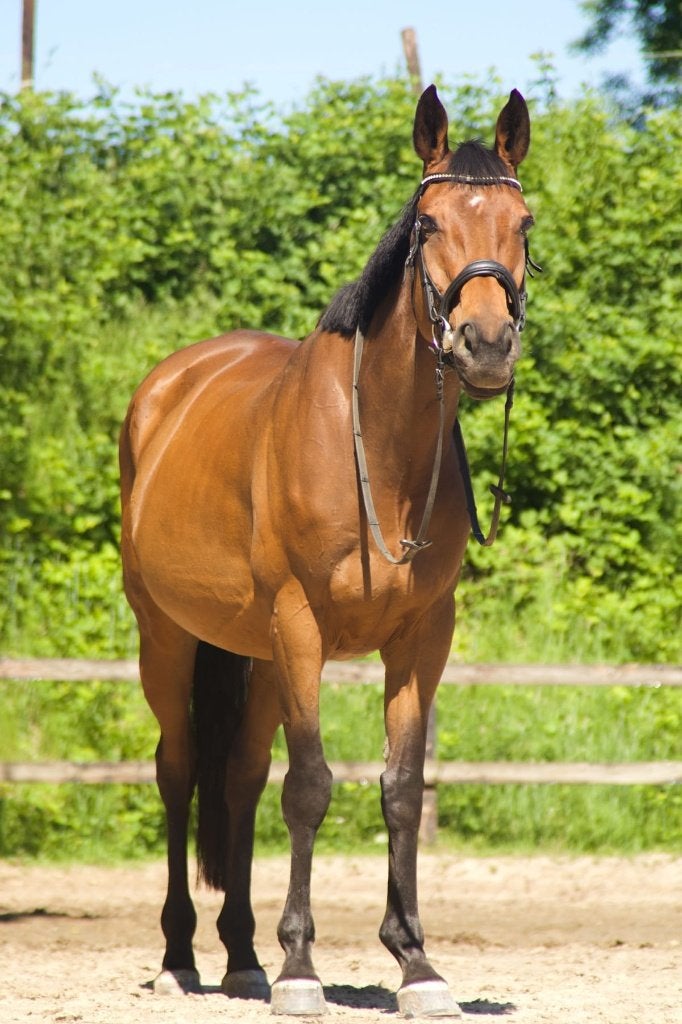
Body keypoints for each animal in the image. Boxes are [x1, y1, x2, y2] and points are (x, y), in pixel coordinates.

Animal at [119, 84, 535, 1018]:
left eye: (524, 223)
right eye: (428, 224)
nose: (486, 344)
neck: (375, 449)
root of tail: (168, 385)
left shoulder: (423, 638)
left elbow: (400, 790)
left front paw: (416, 964)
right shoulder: (301, 623)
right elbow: (309, 787)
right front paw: (303, 969)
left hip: (258, 653)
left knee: (236, 778)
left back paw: (242, 954)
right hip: (168, 637)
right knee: (178, 770)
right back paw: (180, 956)